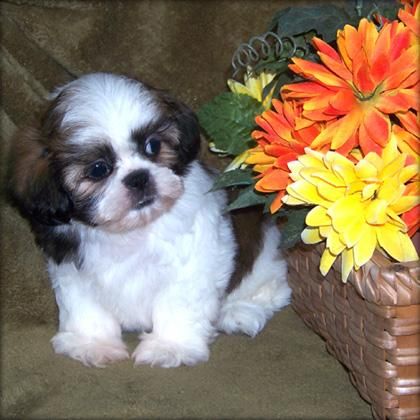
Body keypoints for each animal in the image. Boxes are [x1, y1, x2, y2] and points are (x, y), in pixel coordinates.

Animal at [8, 73, 290, 368]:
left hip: (265, 260)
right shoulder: (73, 269)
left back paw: (239, 310)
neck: (129, 231)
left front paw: (171, 346)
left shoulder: (193, 261)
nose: (139, 177)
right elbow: (85, 306)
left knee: (269, 287)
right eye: (98, 169)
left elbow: (179, 303)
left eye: (153, 146)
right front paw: (92, 343)